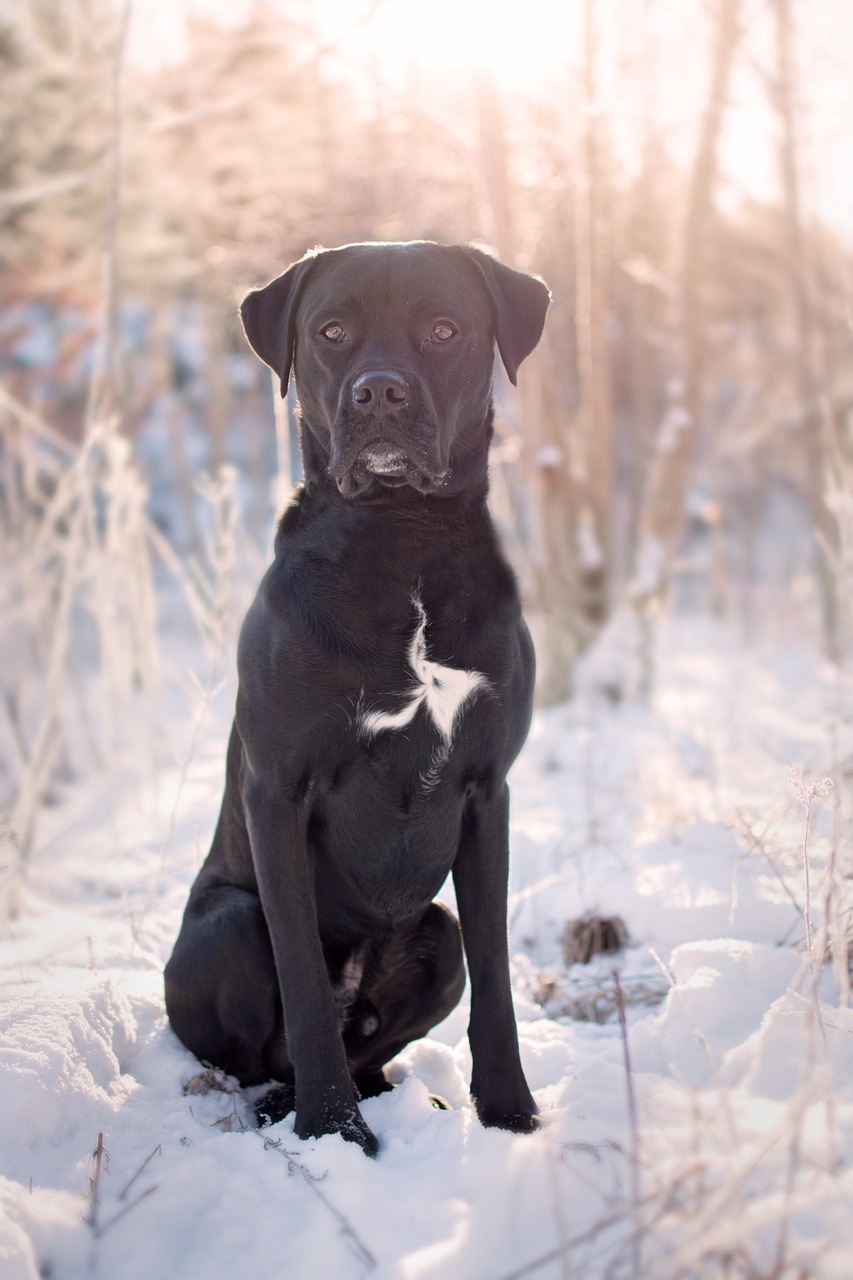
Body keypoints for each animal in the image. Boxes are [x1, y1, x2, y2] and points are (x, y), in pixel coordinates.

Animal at [165, 241, 548, 1162]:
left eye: (443, 329)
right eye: (331, 331)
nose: (378, 392)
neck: (401, 537)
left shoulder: (487, 790)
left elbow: (497, 974)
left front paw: (508, 1110)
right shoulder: (277, 791)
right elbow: (304, 980)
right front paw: (332, 1131)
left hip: (433, 937)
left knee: (387, 1021)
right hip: (227, 926)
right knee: (263, 1050)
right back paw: (288, 1107)